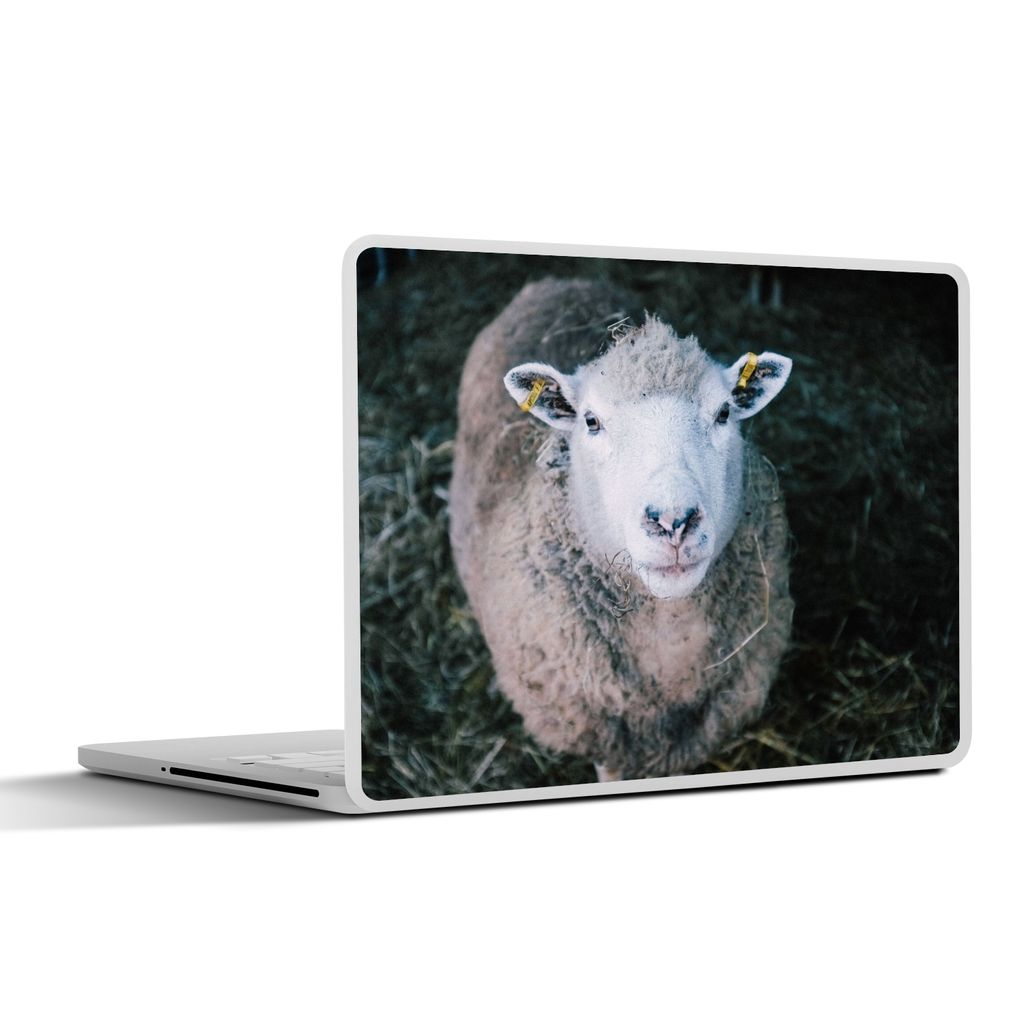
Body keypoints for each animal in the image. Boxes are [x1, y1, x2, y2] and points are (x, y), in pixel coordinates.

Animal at [449, 278, 795, 782]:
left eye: (724, 414)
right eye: (591, 421)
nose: (673, 522)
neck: (670, 643)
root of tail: (554, 284)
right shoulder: (600, 735)